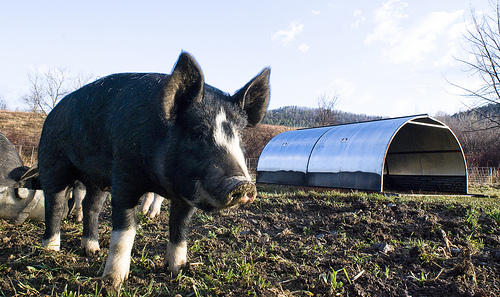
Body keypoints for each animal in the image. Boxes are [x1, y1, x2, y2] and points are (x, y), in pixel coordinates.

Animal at [38, 52, 270, 286]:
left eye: (239, 136)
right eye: (197, 132)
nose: (243, 184)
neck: (158, 181)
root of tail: (53, 112)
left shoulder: (187, 195)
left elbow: (180, 228)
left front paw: (177, 270)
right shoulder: (124, 175)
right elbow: (125, 230)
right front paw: (113, 283)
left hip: (97, 179)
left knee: (90, 206)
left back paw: (92, 250)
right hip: (52, 161)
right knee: (55, 203)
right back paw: (51, 249)